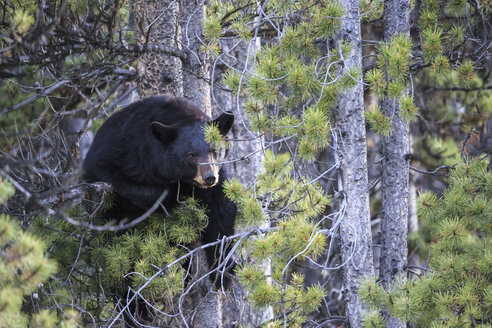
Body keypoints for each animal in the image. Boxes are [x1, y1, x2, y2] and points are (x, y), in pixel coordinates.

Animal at [83, 94, 237, 288]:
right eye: (191, 155)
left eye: (214, 150)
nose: (209, 177)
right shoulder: (122, 155)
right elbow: (120, 180)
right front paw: (167, 198)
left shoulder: (216, 179)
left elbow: (221, 212)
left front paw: (224, 271)